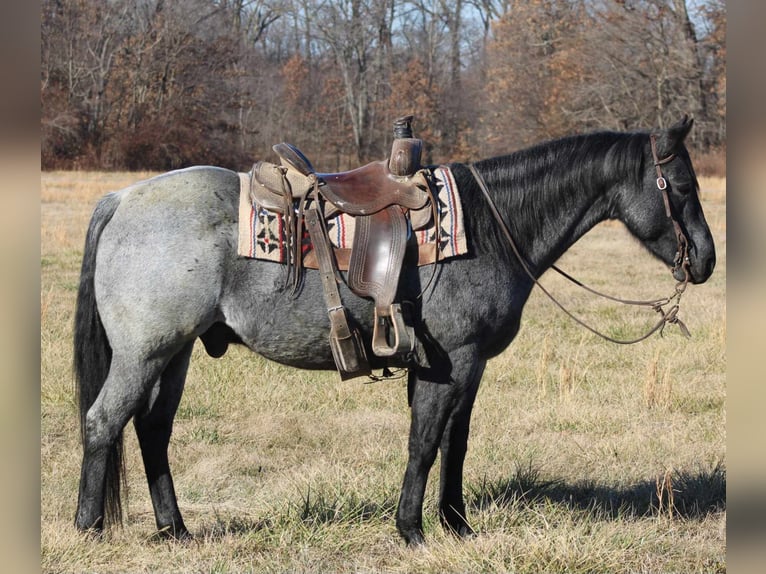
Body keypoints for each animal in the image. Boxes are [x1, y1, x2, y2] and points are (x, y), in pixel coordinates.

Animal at [75, 116, 716, 544]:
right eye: (683, 188)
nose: (706, 260)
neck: (488, 226)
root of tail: (122, 199)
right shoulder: (451, 362)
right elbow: (425, 442)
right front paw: (411, 529)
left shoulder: (466, 368)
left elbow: (456, 443)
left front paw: (457, 525)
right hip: (143, 354)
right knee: (103, 422)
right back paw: (89, 526)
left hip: (175, 353)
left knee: (153, 431)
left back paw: (176, 529)